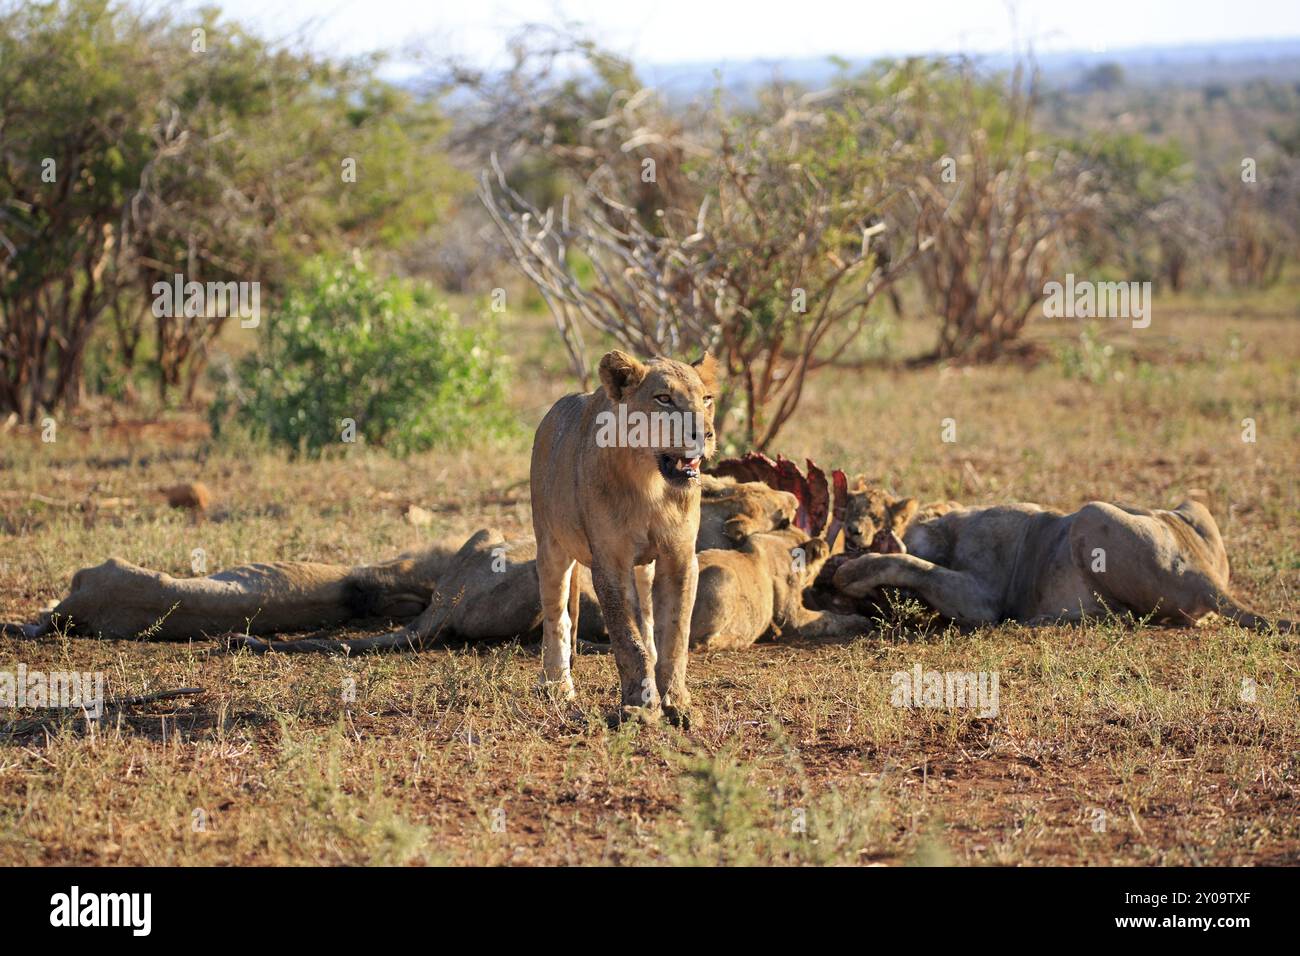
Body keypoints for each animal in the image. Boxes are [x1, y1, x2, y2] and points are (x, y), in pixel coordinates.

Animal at [530, 349, 717, 723]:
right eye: (664, 399)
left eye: (707, 400)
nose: (704, 435)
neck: (650, 484)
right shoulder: (610, 563)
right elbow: (628, 640)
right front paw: (640, 705)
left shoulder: (679, 557)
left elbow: (675, 634)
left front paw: (676, 702)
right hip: (550, 546)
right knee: (557, 616)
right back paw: (556, 686)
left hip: (643, 567)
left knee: (647, 616)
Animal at [831, 487, 1294, 632]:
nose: (853, 536)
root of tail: (1203, 575)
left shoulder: (982, 599)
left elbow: (914, 565)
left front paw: (850, 572)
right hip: (1190, 506)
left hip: (1091, 514)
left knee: (1126, 616)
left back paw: (1045, 620)